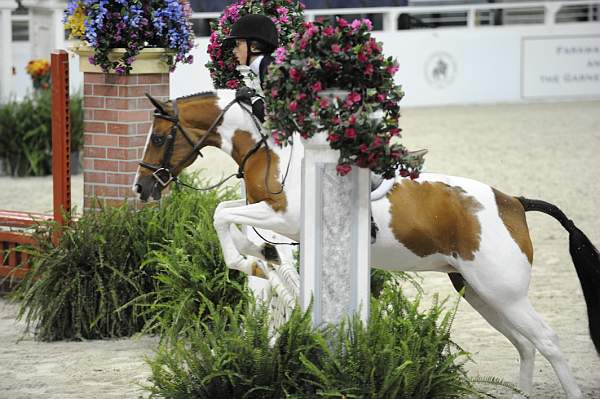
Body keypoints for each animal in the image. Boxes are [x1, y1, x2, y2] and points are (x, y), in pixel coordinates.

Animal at [136, 91, 600, 399]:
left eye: (158, 138)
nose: (142, 189)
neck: (267, 153)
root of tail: (513, 202)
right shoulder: (267, 211)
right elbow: (228, 214)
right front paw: (258, 258)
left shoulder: (286, 217)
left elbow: (223, 216)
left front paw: (250, 259)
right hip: (480, 293)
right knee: (525, 344)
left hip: (504, 291)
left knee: (548, 340)